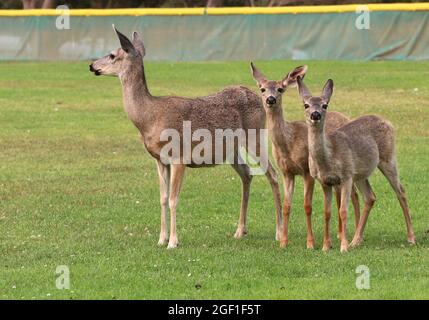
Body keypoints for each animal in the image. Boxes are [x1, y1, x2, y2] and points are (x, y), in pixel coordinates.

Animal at [88, 26, 280, 250]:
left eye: (112, 54)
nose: (92, 65)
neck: (149, 118)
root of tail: (259, 98)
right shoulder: (159, 160)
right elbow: (162, 198)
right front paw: (161, 239)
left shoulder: (178, 156)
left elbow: (173, 199)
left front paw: (173, 241)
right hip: (231, 150)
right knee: (247, 175)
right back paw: (240, 231)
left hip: (255, 137)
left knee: (273, 174)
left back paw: (278, 232)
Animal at [249, 63, 360, 250]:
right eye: (262, 88)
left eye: (280, 89)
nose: (270, 99)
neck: (289, 142)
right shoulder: (287, 172)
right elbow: (286, 205)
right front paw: (284, 242)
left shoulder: (307, 171)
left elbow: (307, 206)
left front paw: (310, 243)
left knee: (353, 195)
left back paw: (348, 236)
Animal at [298, 76, 414, 251]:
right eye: (306, 105)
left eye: (325, 105)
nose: (315, 114)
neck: (328, 158)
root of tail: (388, 121)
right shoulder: (324, 181)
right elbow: (327, 212)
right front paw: (326, 246)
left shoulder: (346, 176)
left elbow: (343, 211)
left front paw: (343, 247)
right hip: (360, 173)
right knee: (370, 197)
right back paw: (356, 240)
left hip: (388, 158)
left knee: (401, 191)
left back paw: (411, 238)